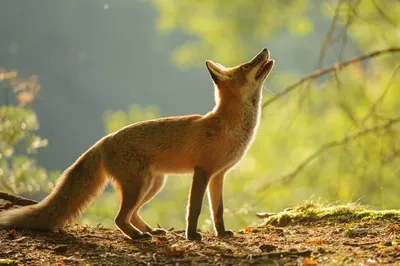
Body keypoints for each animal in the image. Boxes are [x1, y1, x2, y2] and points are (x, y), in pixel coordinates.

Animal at [0, 48, 276, 241]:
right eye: (246, 66)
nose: (264, 50)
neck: (226, 126)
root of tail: (104, 140)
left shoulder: (218, 175)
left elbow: (217, 211)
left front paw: (221, 234)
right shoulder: (202, 172)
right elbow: (195, 209)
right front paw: (192, 236)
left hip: (153, 184)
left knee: (131, 214)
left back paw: (151, 232)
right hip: (140, 185)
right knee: (119, 218)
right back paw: (137, 236)